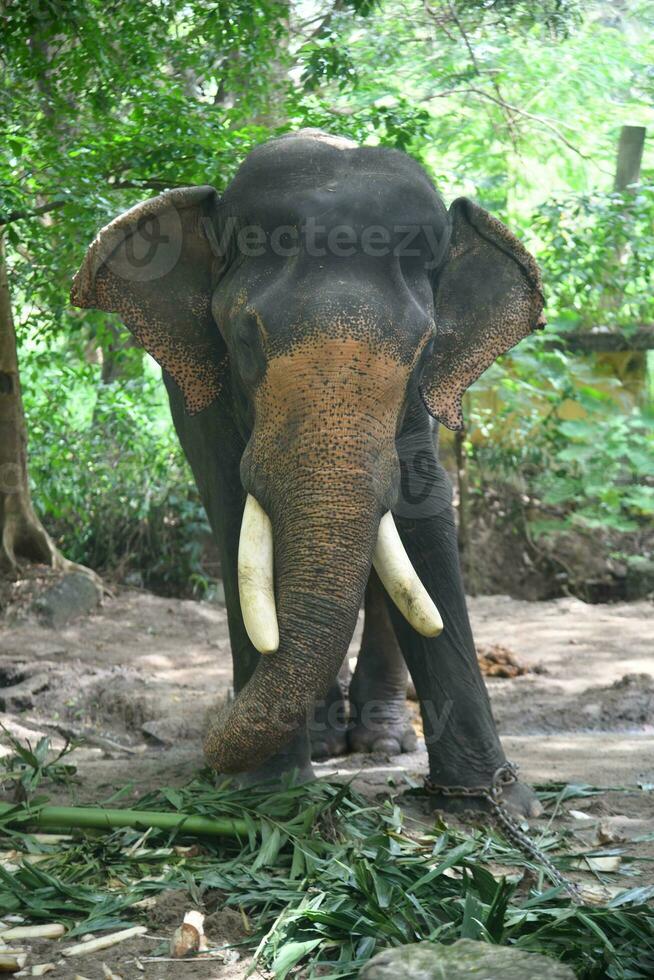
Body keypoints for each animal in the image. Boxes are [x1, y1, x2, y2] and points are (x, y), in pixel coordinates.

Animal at [69, 130, 544, 820]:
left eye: (425, 349)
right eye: (245, 338)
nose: (210, 750)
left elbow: (423, 522)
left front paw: (493, 804)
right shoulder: (199, 392)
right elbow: (231, 510)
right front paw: (267, 792)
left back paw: (381, 742)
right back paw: (322, 742)